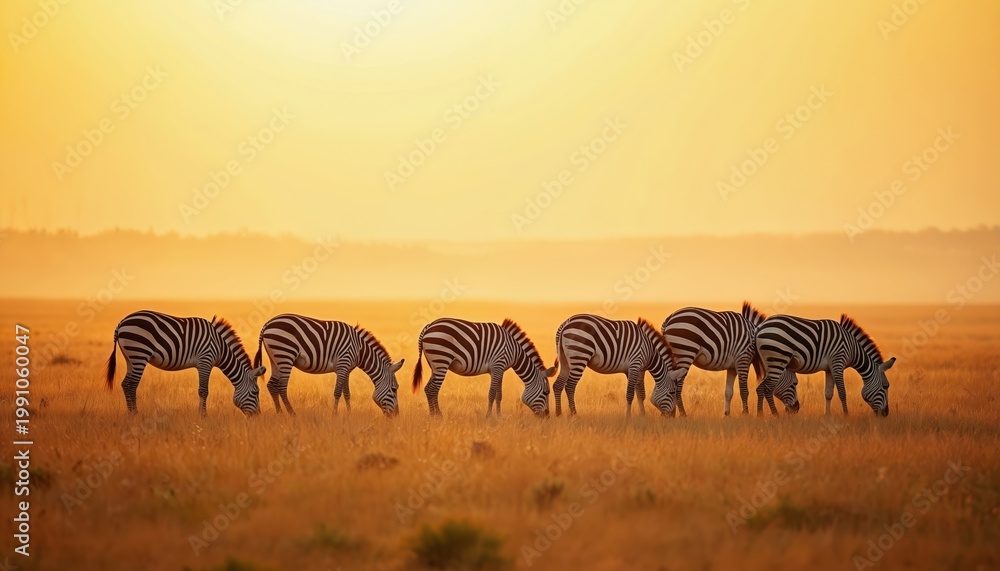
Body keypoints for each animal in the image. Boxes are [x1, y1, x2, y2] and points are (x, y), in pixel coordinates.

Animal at [104, 310, 264, 416]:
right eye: (256, 392)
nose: (258, 416)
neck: (220, 348)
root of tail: (121, 323)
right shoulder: (205, 360)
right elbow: (203, 391)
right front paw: (203, 416)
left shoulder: (204, 363)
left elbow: (203, 390)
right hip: (139, 353)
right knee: (132, 384)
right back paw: (135, 414)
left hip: (130, 357)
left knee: (125, 384)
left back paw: (131, 414)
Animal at [253, 314, 404, 416]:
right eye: (394, 389)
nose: (396, 416)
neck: (360, 349)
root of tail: (267, 324)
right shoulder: (343, 363)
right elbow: (337, 392)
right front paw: (334, 415)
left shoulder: (347, 369)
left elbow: (347, 393)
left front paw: (349, 414)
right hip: (285, 354)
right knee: (281, 386)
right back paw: (292, 414)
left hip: (275, 359)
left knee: (272, 385)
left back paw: (280, 414)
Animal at [411, 318, 555, 417]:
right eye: (546, 392)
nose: (547, 416)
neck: (515, 352)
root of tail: (428, 327)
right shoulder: (497, 365)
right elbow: (491, 393)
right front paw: (489, 417)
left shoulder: (500, 369)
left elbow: (499, 395)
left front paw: (499, 416)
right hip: (441, 360)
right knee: (433, 389)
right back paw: (438, 416)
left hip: (434, 365)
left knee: (428, 388)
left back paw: (433, 415)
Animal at [655, 302, 788, 416]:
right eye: (792, 383)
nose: (792, 410)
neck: (755, 338)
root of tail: (669, 319)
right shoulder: (743, 358)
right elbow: (744, 390)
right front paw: (745, 414)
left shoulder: (732, 367)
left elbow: (729, 392)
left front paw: (727, 414)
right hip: (685, 352)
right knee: (677, 387)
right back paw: (683, 414)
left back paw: (671, 413)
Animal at [755, 314, 895, 416]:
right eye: (885, 386)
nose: (886, 414)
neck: (853, 350)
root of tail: (760, 328)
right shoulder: (838, 363)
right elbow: (842, 392)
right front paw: (846, 415)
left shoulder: (829, 369)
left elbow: (828, 393)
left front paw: (827, 415)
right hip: (778, 358)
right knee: (768, 388)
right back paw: (775, 415)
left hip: (769, 362)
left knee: (761, 388)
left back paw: (760, 415)